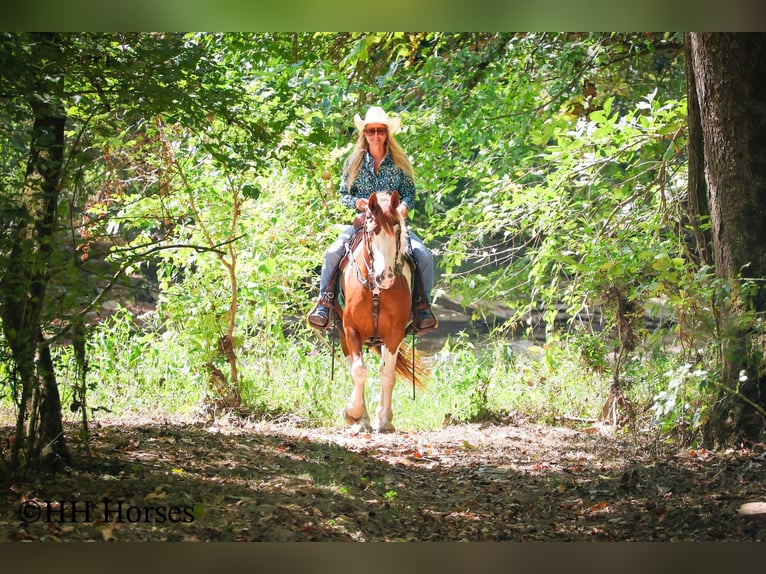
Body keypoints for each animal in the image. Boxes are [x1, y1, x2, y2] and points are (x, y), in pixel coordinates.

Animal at [334, 190, 428, 433]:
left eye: (397, 229)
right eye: (371, 230)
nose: (385, 277)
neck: (376, 289)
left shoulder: (394, 332)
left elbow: (387, 374)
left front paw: (385, 419)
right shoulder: (351, 328)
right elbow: (359, 370)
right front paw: (353, 413)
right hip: (342, 333)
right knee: (353, 366)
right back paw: (362, 419)